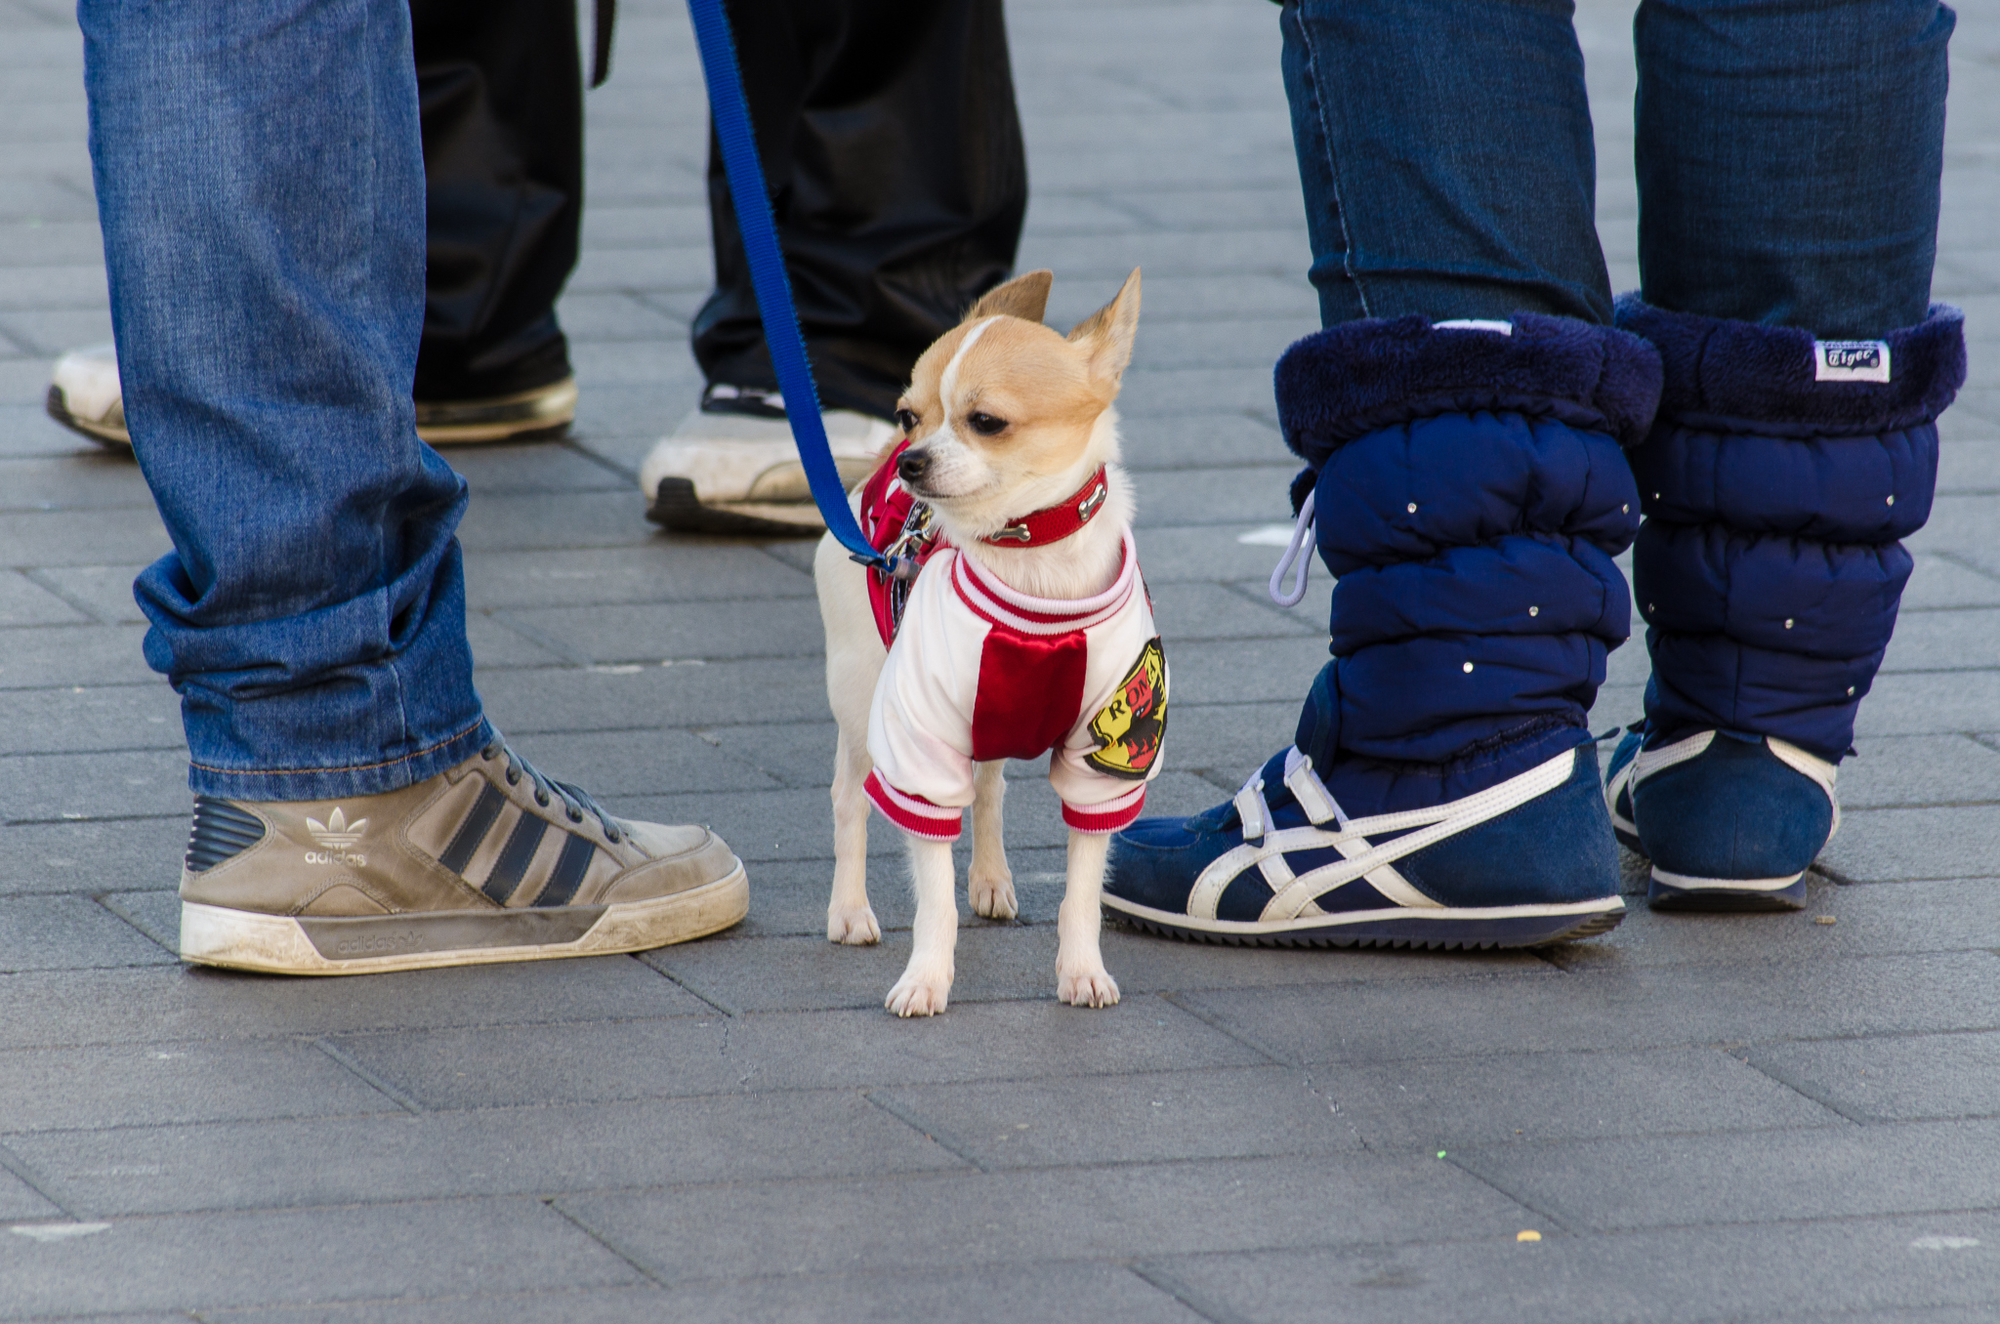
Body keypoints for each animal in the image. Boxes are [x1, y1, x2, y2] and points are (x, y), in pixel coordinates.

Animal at [808, 268, 1168, 1016]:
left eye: (986, 422)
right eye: (907, 413)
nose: (912, 459)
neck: (1029, 557)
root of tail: (872, 471)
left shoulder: (1106, 762)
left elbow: (1081, 891)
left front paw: (1081, 970)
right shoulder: (919, 750)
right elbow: (932, 895)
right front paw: (926, 978)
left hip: (987, 718)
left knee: (989, 788)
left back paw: (992, 879)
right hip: (862, 701)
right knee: (850, 800)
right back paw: (849, 910)